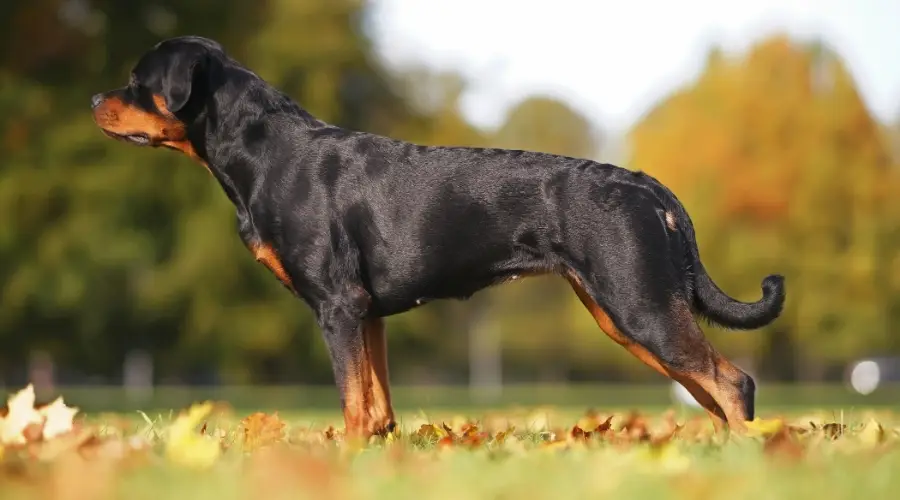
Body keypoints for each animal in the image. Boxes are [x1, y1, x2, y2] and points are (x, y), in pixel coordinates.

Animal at [89, 36, 780, 438]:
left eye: (137, 81)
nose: (96, 99)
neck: (264, 151)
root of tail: (645, 185)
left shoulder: (338, 307)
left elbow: (353, 405)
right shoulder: (367, 314)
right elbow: (376, 407)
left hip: (640, 306)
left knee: (732, 384)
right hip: (625, 312)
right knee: (712, 391)